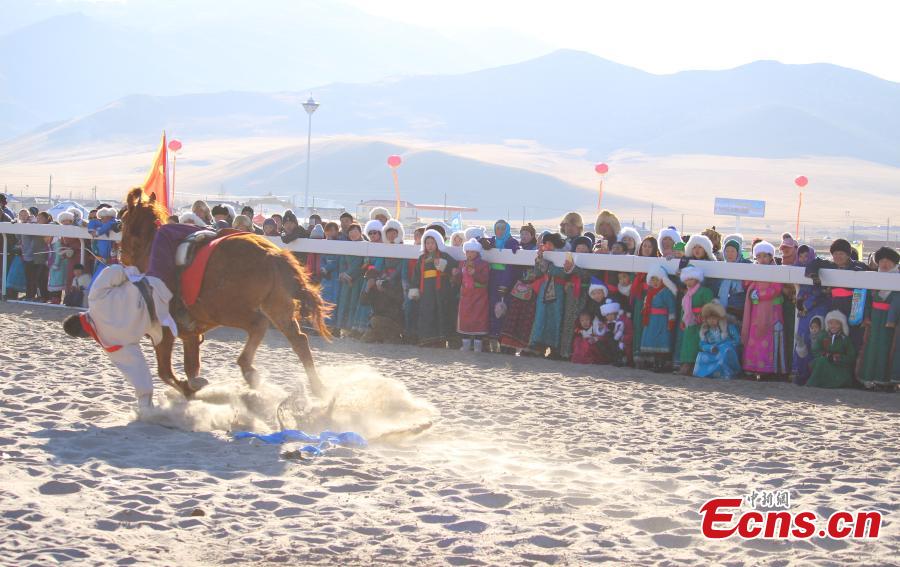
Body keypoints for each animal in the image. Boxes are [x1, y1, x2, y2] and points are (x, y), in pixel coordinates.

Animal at [118, 187, 330, 400]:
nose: (121, 255)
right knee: (299, 340)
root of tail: (272, 255)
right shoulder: (191, 335)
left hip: (226, 311)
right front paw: (193, 386)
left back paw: (248, 369)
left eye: (124, 219)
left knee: (258, 324)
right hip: (277, 307)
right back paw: (318, 388)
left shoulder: (164, 332)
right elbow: (190, 367)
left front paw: (188, 388)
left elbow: (165, 372)